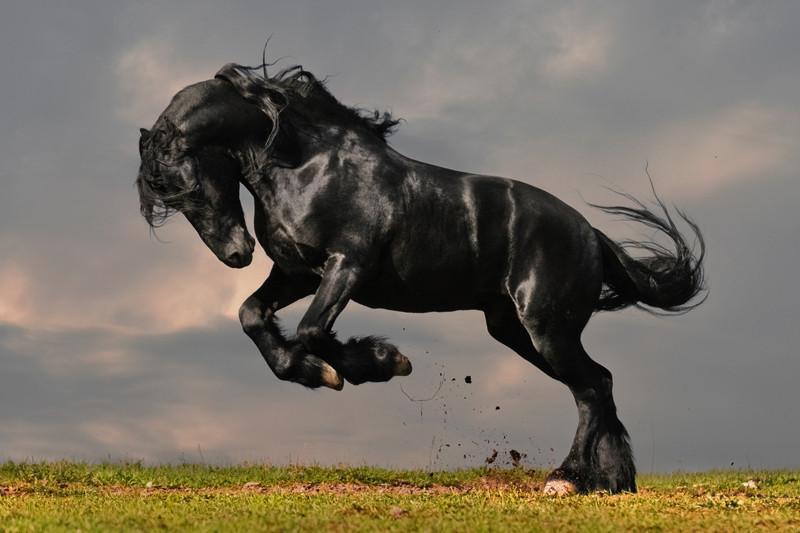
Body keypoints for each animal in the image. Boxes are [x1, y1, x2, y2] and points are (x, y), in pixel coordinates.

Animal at [136, 61, 705, 495]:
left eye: (188, 185)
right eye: (168, 198)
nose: (236, 254)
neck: (307, 165)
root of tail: (590, 234)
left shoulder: (347, 266)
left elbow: (312, 330)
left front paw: (377, 363)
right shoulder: (296, 271)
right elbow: (252, 316)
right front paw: (315, 371)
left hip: (547, 328)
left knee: (590, 387)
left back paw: (566, 479)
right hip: (515, 330)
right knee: (599, 383)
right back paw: (610, 481)